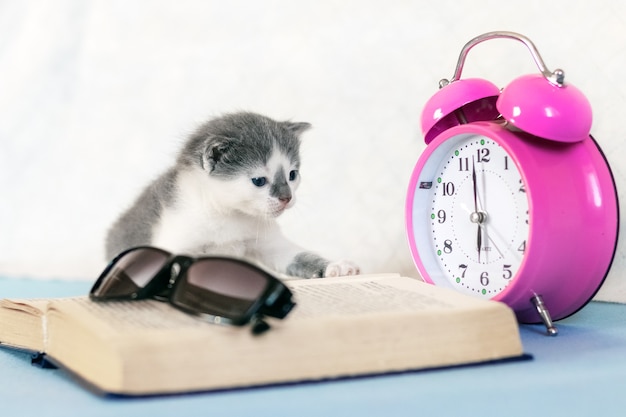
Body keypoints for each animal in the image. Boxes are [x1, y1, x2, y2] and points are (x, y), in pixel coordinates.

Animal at [105, 112, 358, 278]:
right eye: (259, 181)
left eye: (292, 175)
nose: (287, 197)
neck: (227, 216)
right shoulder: (175, 238)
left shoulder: (269, 243)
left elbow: (298, 255)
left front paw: (335, 267)